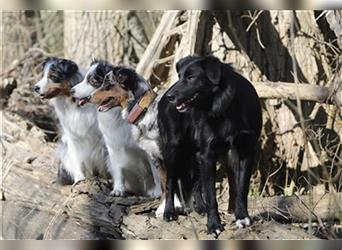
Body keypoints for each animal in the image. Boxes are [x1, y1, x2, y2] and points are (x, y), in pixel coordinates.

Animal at [158, 55, 262, 236]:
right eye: (180, 76)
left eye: (191, 77)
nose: (171, 97)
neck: (225, 107)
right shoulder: (208, 153)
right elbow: (211, 195)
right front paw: (214, 225)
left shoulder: (245, 151)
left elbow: (242, 188)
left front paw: (242, 217)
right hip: (173, 150)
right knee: (170, 182)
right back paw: (169, 212)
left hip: (196, 153)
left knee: (195, 183)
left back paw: (201, 208)